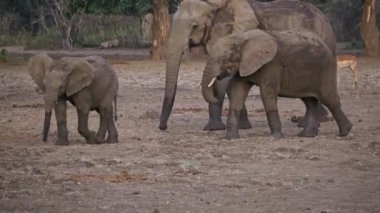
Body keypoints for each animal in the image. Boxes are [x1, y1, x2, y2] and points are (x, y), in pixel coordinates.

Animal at [158, 0, 336, 131]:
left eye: (195, 26)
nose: (163, 127)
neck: (216, 5)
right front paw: (243, 127)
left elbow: (224, 80)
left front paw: (213, 128)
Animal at [202, 29, 354, 140]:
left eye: (224, 59)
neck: (241, 37)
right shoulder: (244, 65)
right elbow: (237, 91)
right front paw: (230, 138)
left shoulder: (271, 65)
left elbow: (267, 92)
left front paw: (276, 138)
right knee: (310, 102)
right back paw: (307, 135)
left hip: (326, 68)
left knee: (329, 99)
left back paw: (344, 132)